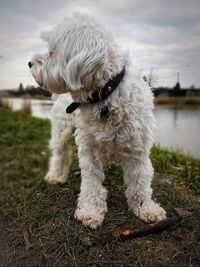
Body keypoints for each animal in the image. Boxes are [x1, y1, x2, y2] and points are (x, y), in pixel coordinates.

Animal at [28, 13, 166, 229]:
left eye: (52, 52)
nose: (29, 63)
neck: (105, 96)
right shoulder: (89, 147)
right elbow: (91, 182)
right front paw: (91, 211)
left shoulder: (138, 148)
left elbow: (140, 181)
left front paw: (145, 208)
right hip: (61, 129)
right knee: (60, 154)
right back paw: (56, 175)